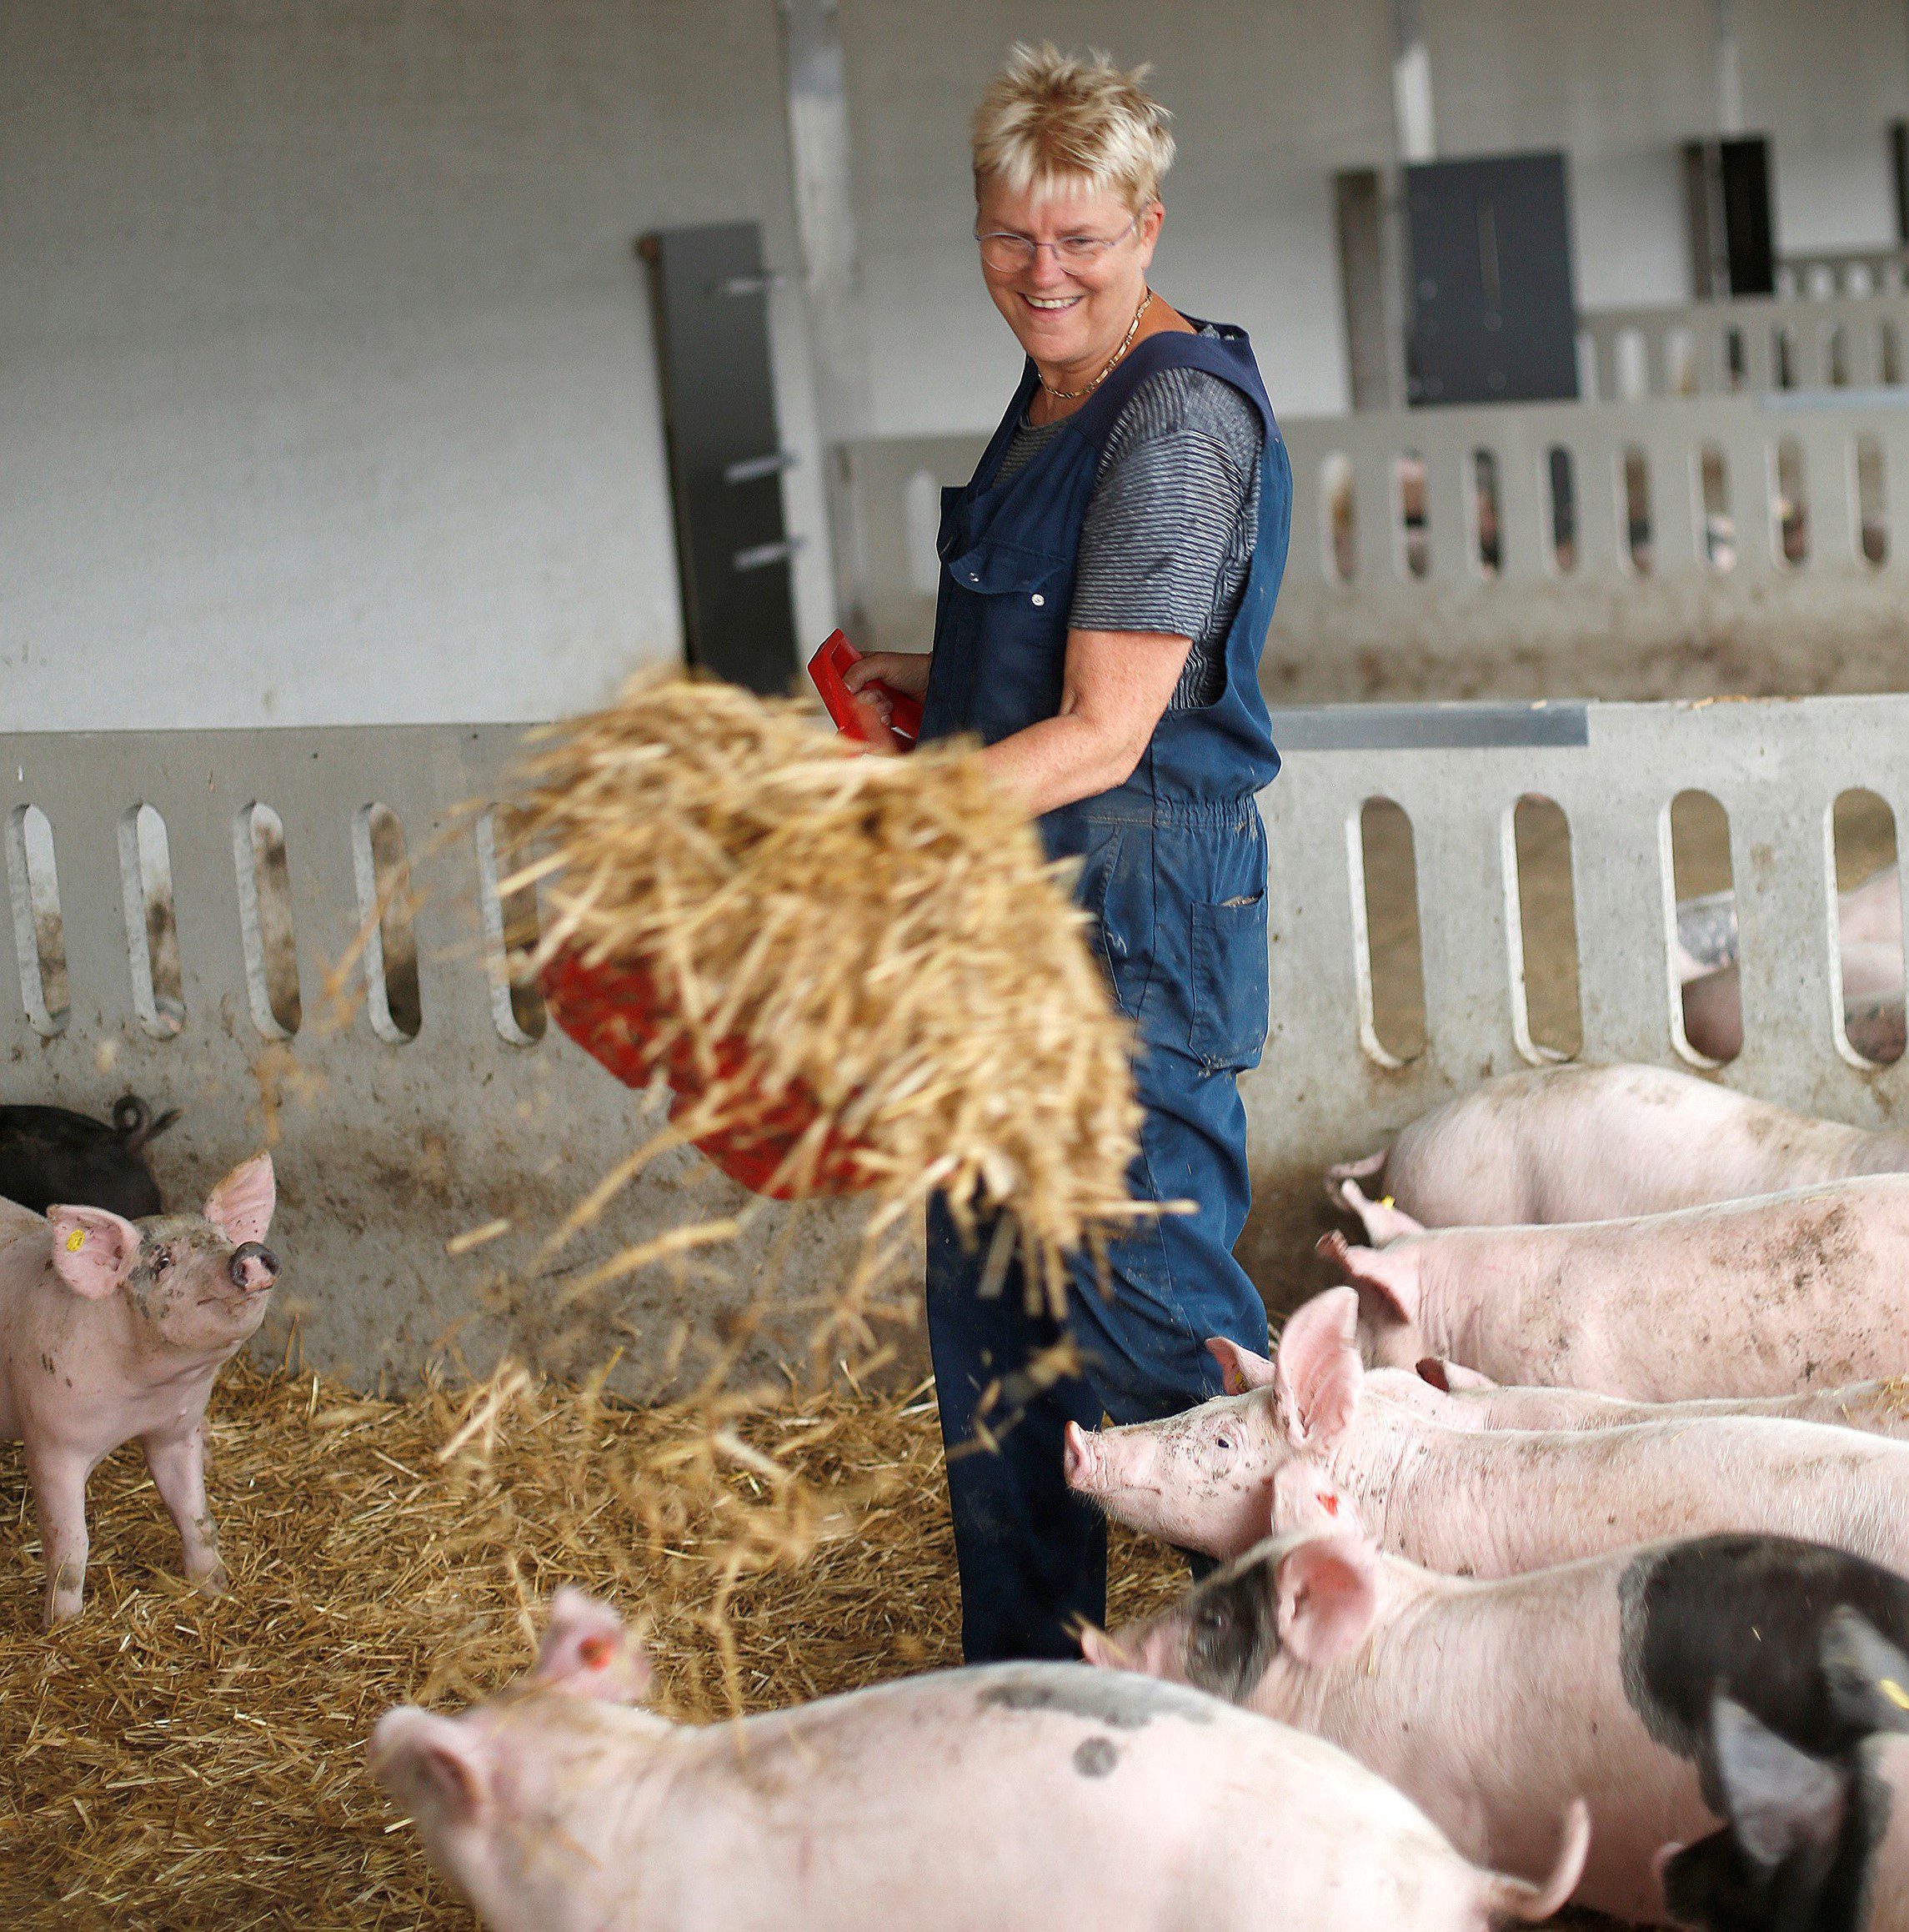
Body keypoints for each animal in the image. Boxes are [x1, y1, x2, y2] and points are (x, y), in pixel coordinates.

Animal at [0, 1159, 280, 1630]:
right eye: (163, 1262)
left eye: (224, 1239)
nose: (246, 1252)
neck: (139, 1398)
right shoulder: (52, 1444)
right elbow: (71, 1547)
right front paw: (63, 1627)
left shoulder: (177, 1429)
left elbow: (196, 1516)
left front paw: (215, 1589)